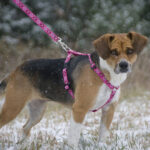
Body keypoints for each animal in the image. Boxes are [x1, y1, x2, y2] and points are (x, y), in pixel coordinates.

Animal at [0, 31, 148, 146]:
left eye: (130, 51)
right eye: (113, 52)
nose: (124, 65)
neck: (103, 72)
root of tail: (16, 70)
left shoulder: (109, 109)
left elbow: (102, 135)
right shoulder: (79, 109)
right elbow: (73, 138)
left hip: (37, 111)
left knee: (25, 128)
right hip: (13, 107)